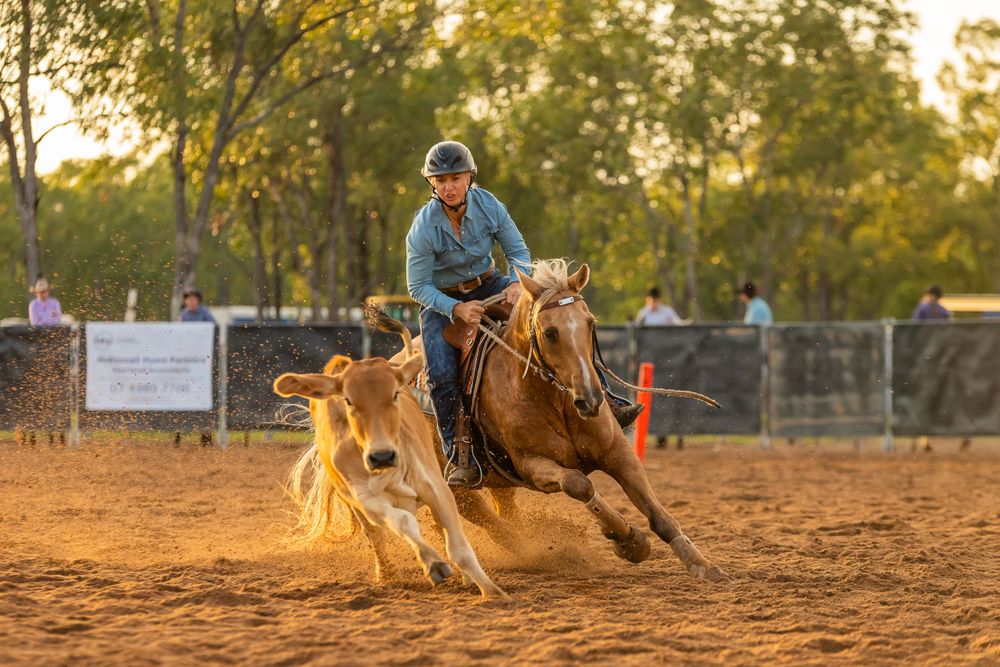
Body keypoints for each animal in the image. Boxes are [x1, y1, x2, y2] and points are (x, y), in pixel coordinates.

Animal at [274, 351, 507, 598]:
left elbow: (458, 547)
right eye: (349, 400)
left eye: (395, 394)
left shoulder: (434, 486)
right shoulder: (366, 500)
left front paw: (492, 592)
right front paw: (433, 564)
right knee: (375, 534)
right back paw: (386, 574)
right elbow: (403, 522)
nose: (382, 456)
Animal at [388, 258, 728, 583]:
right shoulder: (532, 465)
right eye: (550, 333)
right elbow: (580, 484)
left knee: (503, 512)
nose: (591, 398)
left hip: (500, 484)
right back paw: (528, 551)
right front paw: (629, 540)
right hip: (449, 485)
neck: (556, 400)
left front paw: (702, 565)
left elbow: (659, 515)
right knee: (488, 521)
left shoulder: (618, 452)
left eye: (590, 323)